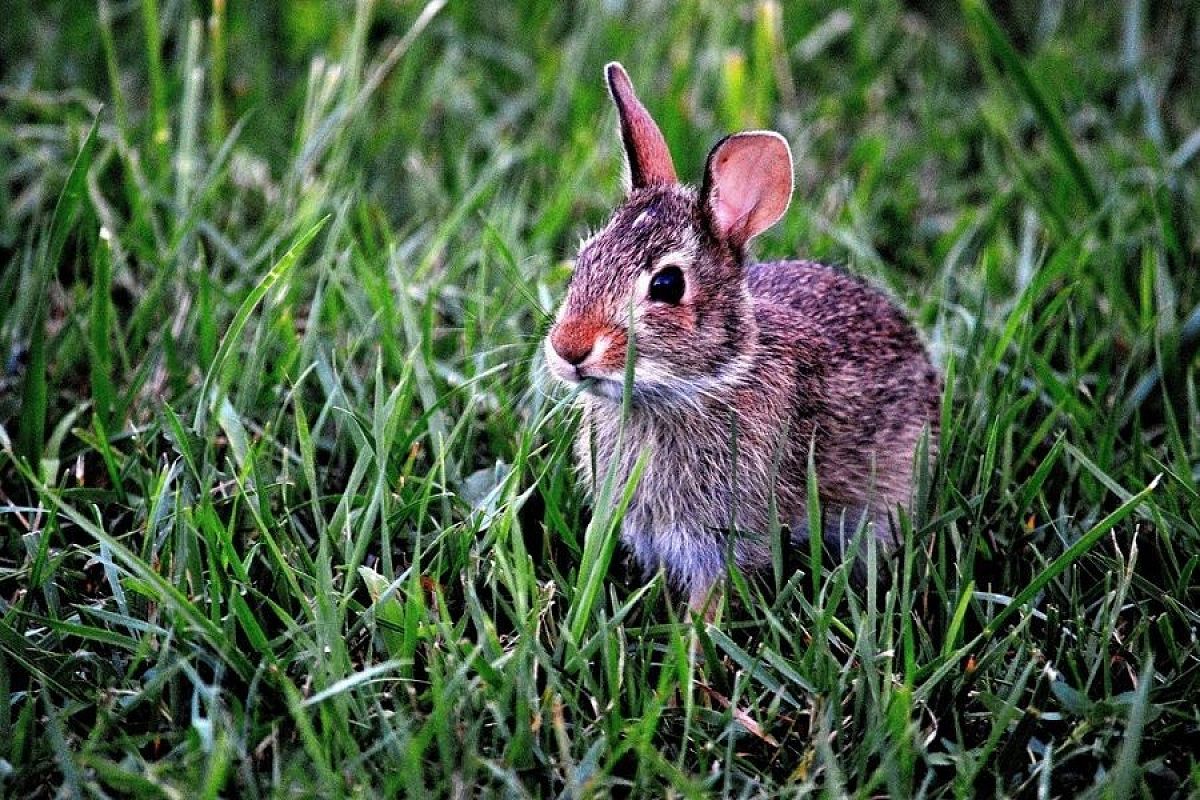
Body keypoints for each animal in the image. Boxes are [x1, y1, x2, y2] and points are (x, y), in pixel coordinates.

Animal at [544, 62, 945, 614]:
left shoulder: (726, 539)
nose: (568, 348)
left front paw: (695, 635)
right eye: (583, 259)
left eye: (666, 285)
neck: (704, 383)